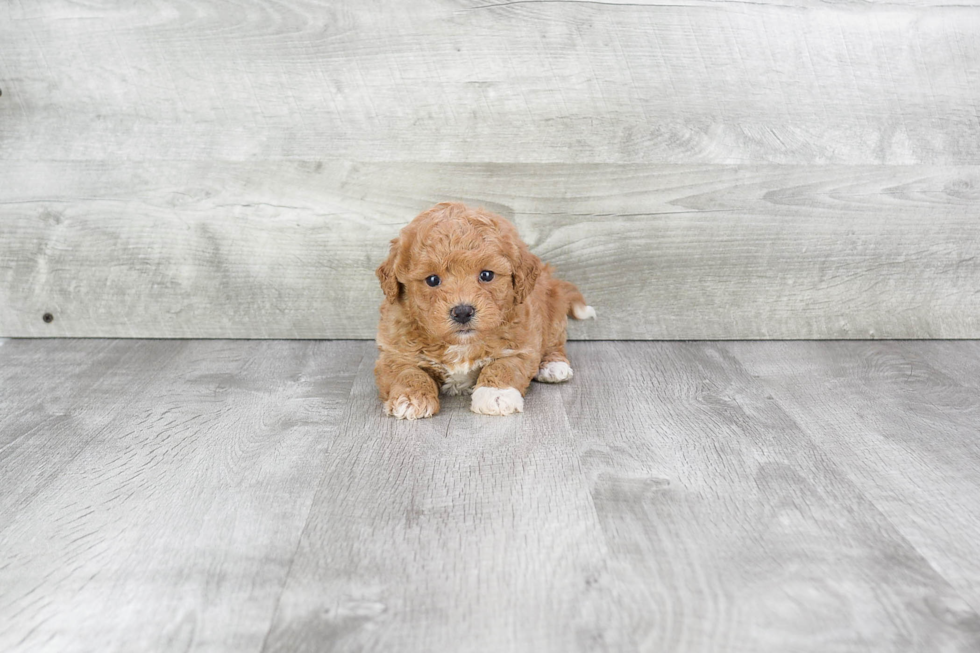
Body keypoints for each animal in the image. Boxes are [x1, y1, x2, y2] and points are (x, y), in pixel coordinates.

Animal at [372, 201, 592, 420]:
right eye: (432, 279)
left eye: (487, 275)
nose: (462, 312)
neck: (460, 344)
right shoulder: (393, 351)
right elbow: (407, 372)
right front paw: (410, 398)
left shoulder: (522, 345)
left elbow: (503, 366)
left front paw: (496, 394)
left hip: (553, 314)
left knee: (555, 343)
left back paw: (553, 366)